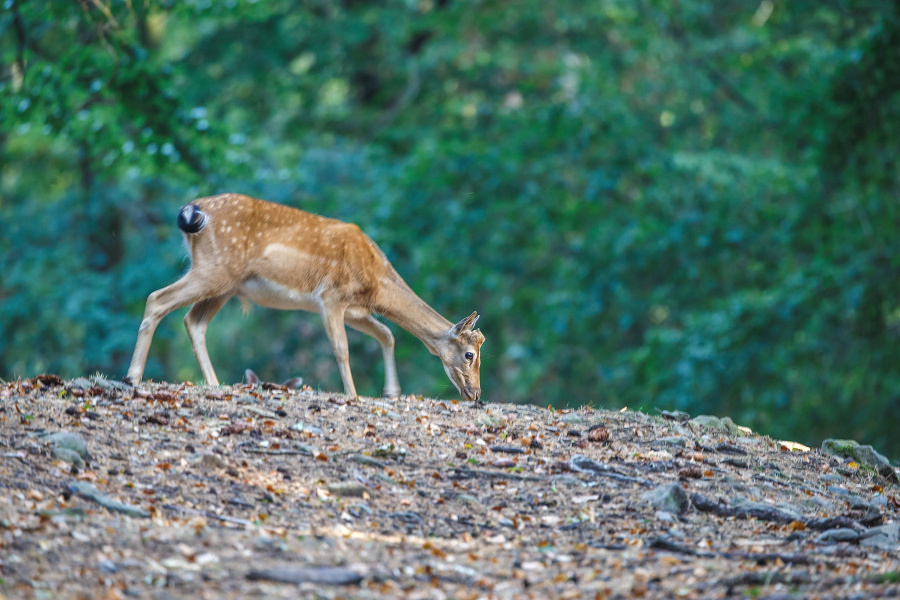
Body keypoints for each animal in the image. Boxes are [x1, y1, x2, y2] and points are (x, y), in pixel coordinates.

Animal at [126, 195, 486, 400]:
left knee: (193, 321)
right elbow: (341, 349)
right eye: (469, 354)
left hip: (227, 284)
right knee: (157, 298)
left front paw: (392, 392)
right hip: (215, 269)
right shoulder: (331, 296)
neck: (376, 282)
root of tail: (193, 210)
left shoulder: (355, 310)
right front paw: (353, 395)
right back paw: (132, 376)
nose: (475, 393)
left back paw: (213, 384)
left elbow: (387, 334)